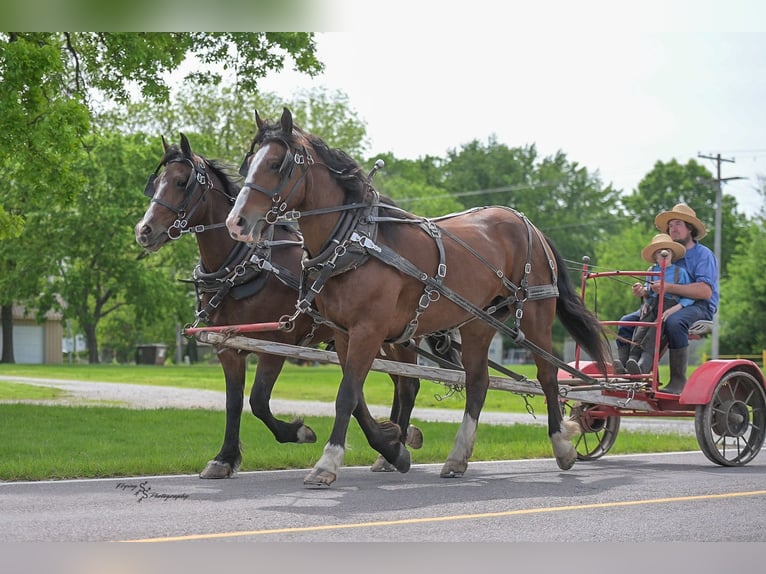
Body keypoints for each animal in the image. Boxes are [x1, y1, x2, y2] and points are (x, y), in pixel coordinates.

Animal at [135, 133, 428, 478]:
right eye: (156, 184)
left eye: (182, 182)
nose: (144, 231)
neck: (246, 265)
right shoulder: (227, 345)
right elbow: (233, 402)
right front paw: (224, 458)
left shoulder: (276, 343)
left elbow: (259, 401)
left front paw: (298, 431)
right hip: (374, 339)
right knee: (392, 384)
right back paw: (394, 439)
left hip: (395, 337)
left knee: (408, 386)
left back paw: (394, 448)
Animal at [226, 107, 613, 488]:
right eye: (250, 161)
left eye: (277, 163)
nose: (236, 222)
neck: (355, 240)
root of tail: (528, 223)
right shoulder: (343, 332)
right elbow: (356, 395)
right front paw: (392, 448)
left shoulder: (368, 330)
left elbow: (347, 395)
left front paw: (329, 462)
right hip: (478, 321)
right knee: (477, 382)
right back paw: (457, 457)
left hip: (534, 311)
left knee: (547, 376)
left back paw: (562, 446)